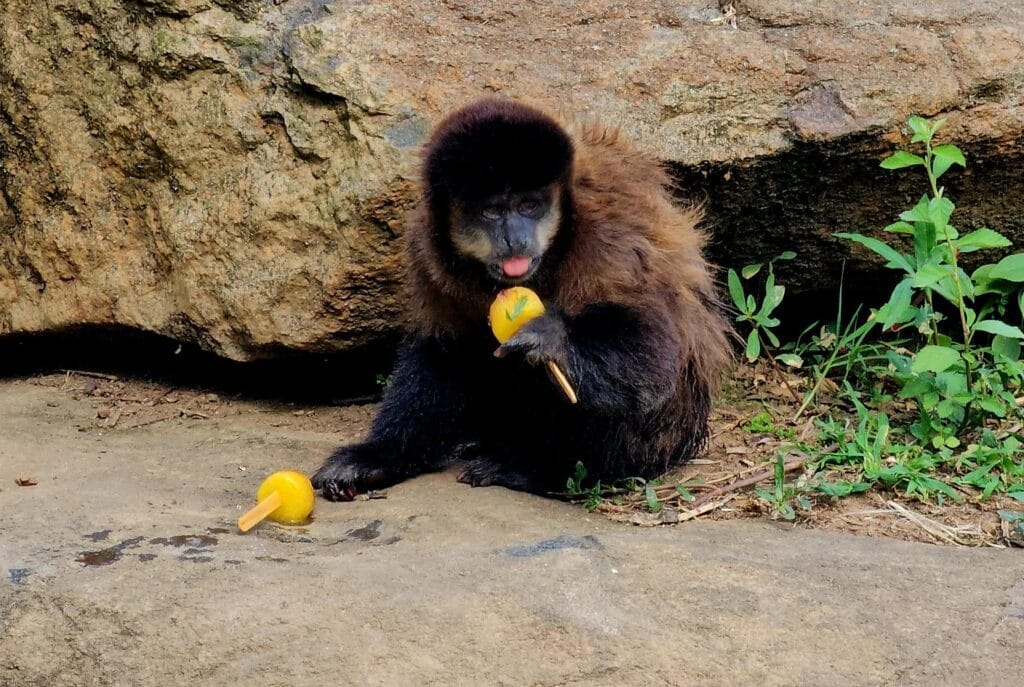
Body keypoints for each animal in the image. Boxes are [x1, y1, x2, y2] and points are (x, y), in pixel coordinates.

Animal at [312, 98, 732, 501]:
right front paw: (382, 456)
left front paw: (553, 338)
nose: (516, 238)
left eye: (529, 206)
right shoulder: (424, 243)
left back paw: (535, 468)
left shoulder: (609, 229)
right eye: (493, 211)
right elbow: (442, 349)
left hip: (662, 437)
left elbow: (654, 354)